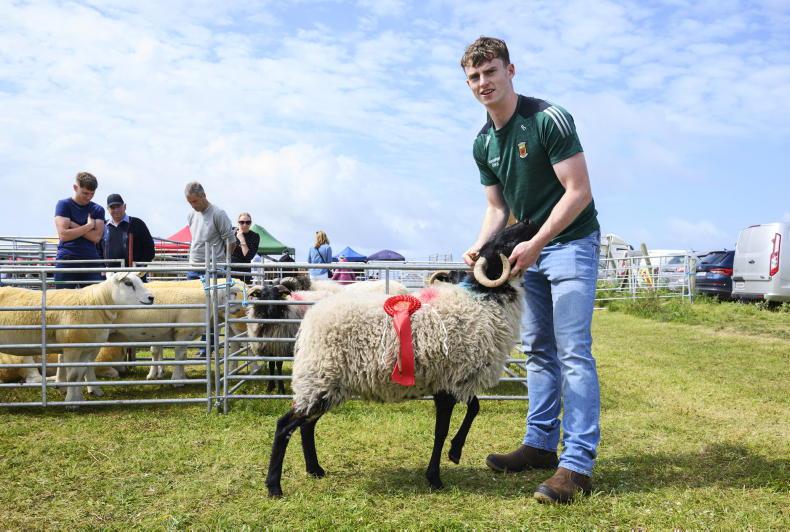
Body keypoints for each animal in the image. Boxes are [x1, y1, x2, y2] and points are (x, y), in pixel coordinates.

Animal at [0, 272, 154, 402]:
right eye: (128, 283)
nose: (151, 297)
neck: (96, 302)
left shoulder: (86, 348)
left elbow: (80, 373)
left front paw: (79, 398)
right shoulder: (71, 347)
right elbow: (73, 375)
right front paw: (70, 402)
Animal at [264, 220, 539, 497]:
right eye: (505, 242)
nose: (528, 221)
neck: (483, 302)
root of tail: (308, 322)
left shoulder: (456, 379)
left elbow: (474, 409)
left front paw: (455, 451)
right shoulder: (448, 383)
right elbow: (442, 430)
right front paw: (435, 477)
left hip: (327, 383)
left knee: (307, 425)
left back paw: (315, 469)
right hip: (318, 377)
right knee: (284, 426)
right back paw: (274, 486)